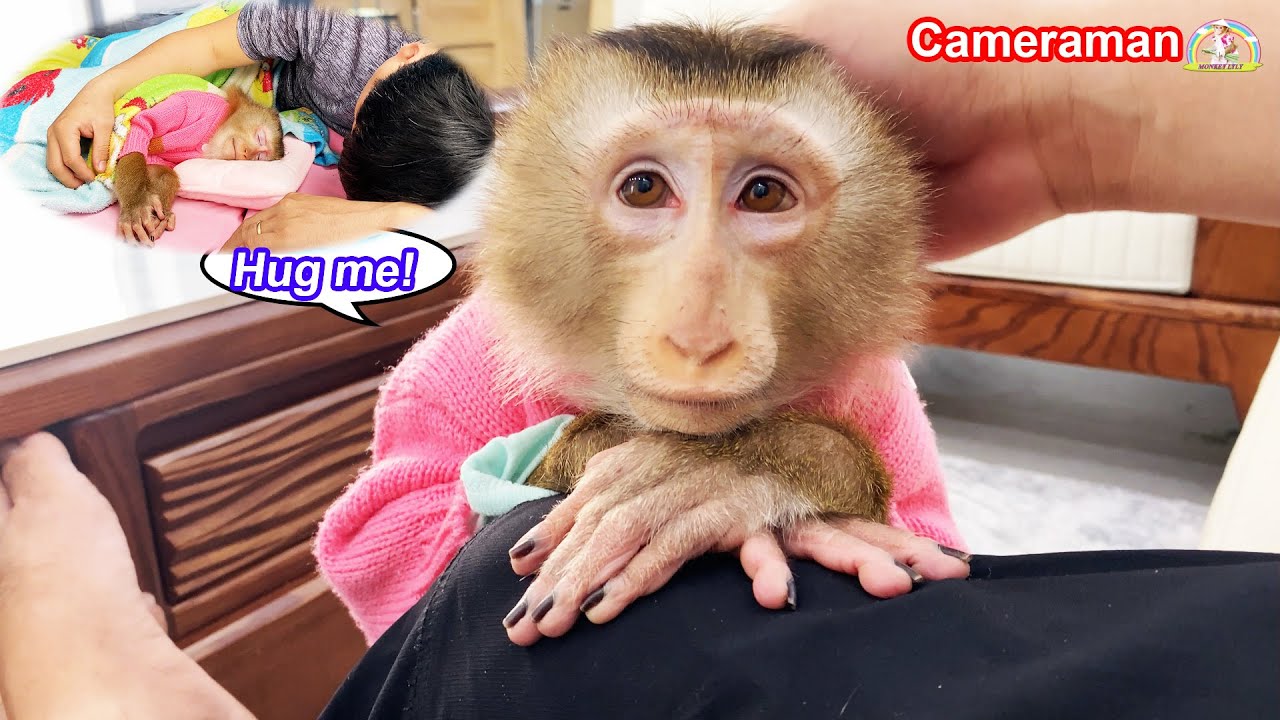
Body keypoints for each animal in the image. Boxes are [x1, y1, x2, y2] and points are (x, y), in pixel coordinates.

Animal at [114, 86, 285, 245]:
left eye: (258, 158)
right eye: (260, 138)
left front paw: (161, 213)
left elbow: (159, 170)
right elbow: (143, 125)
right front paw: (136, 203)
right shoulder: (192, 103)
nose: (246, 153)